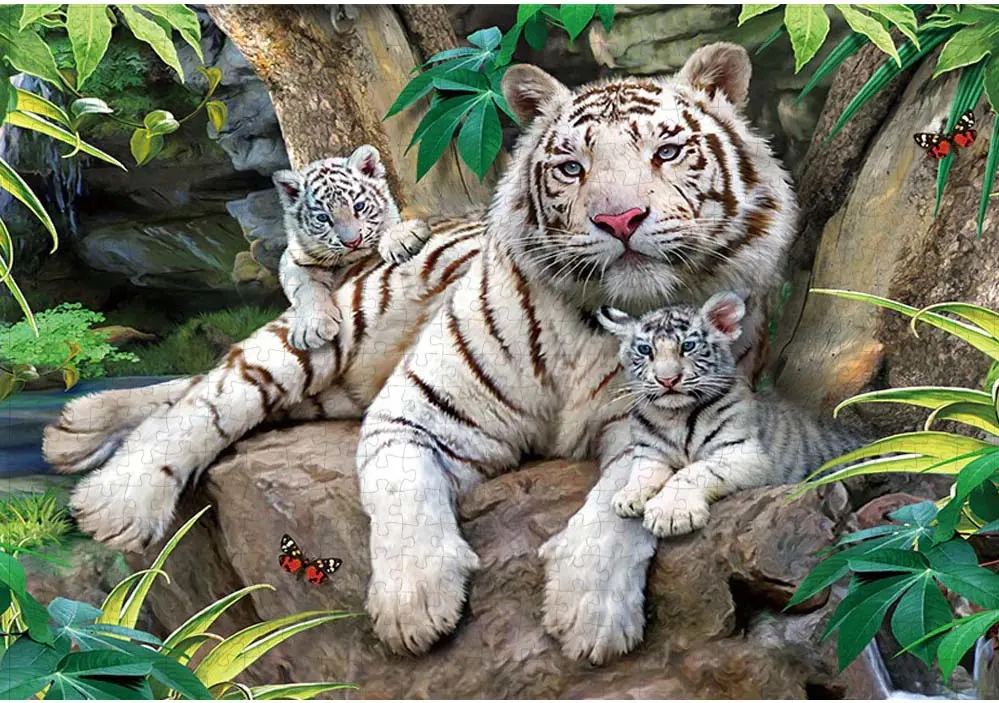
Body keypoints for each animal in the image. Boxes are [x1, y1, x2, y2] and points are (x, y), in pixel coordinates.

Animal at [274, 145, 431, 350]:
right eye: (323, 218)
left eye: (359, 206)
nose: (353, 242)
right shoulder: (293, 258)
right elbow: (304, 287)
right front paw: (311, 328)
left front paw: (402, 239)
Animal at [597, 292, 862, 538]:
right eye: (645, 350)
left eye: (688, 346)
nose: (667, 380)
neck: (675, 416)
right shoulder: (650, 452)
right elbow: (643, 471)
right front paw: (628, 496)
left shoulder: (745, 452)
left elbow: (692, 472)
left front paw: (670, 513)